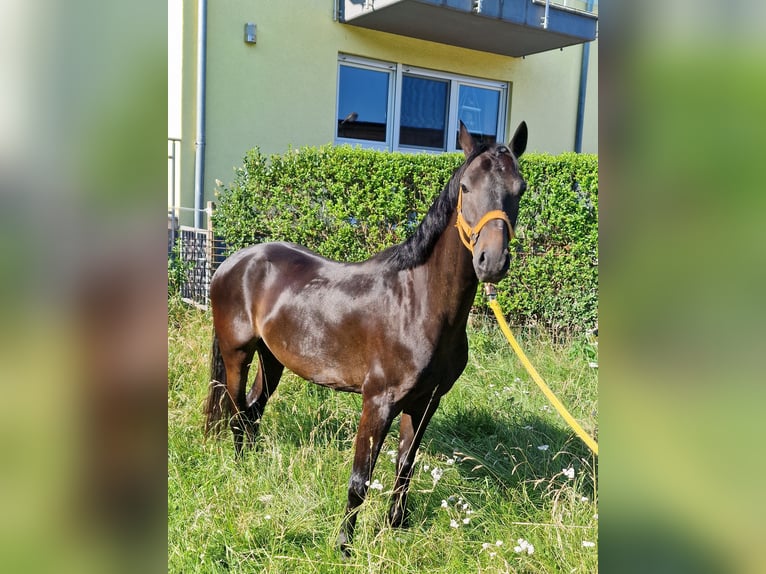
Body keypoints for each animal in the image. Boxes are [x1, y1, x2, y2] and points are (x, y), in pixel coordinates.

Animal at [204, 120, 528, 555]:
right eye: (466, 187)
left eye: (519, 188)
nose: (491, 262)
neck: (419, 304)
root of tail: (233, 262)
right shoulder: (377, 402)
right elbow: (361, 479)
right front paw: (344, 545)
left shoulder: (426, 402)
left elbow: (405, 466)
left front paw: (397, 526)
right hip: (237, 353)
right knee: (237, 411)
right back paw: (241, 469)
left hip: (273, 359)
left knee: (253, 410)